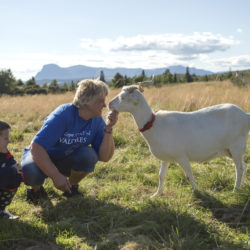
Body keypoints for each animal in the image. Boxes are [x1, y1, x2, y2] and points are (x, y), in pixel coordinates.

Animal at [109, 85, 250, 196]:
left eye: (123, 97)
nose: (109, 104)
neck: (154, 125)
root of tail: (245, 116)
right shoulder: (165, 158)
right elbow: (161, 176)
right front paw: (156, 194)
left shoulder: (181, 156)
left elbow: (189, 174)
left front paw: (197, 191)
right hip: (230, 150)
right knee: (244, 166)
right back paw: (241, 187)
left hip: (236, 145)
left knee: (239, 169)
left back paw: (235, 190)